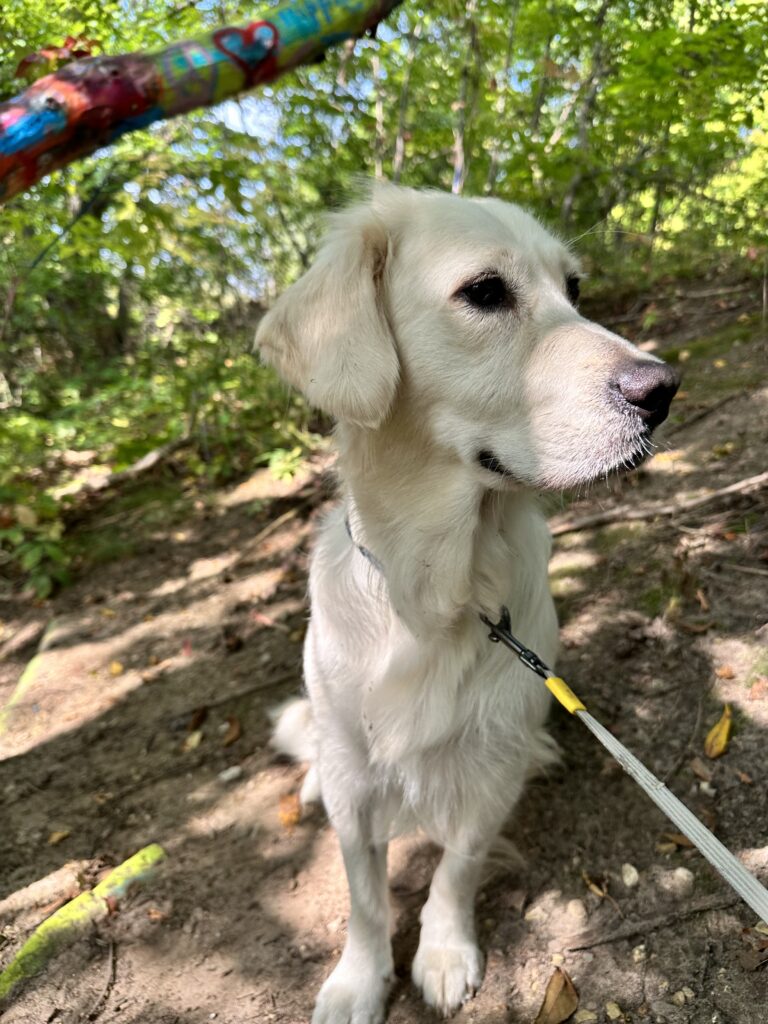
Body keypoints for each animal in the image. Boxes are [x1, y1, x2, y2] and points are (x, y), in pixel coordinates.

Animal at [256, 183, 678, 1023]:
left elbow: (456, 865)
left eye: (573, 288)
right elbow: (363, 895)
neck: (439, 594)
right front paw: (359, 980)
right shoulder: (357, 779)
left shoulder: (491, 762)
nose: (664, 391)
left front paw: (445, 953)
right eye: (485, 292)